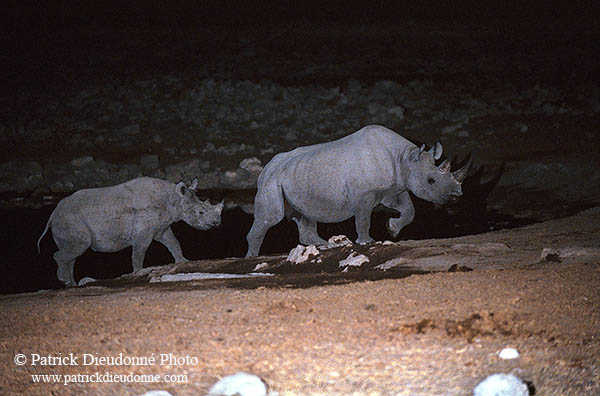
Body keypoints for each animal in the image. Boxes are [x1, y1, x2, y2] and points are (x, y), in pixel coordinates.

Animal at [38, 178, 225, 286]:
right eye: (200, 212)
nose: (216, 223)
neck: (173, 199)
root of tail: (53, 213)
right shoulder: (143, 233)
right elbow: (138, 253)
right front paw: (137, 273)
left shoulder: (162, 227)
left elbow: (174, 243)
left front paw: (183, 261)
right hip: (69, 218)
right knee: (79, 246)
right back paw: (65, 280)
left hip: (64, 219)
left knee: (74, 252)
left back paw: (71, 284)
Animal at [246, 125, 472, 258]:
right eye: (431, 181)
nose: (456, 197)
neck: (405, 158)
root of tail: (266, 168)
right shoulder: (365, 193)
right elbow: (363, 218)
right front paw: (367, 241)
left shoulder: (393, 188)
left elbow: (409, 210)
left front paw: (392, 229)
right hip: (272, 181)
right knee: (272, 217)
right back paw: (252, 257)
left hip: (297, 176)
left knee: (305, 215)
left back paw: (325, 245)